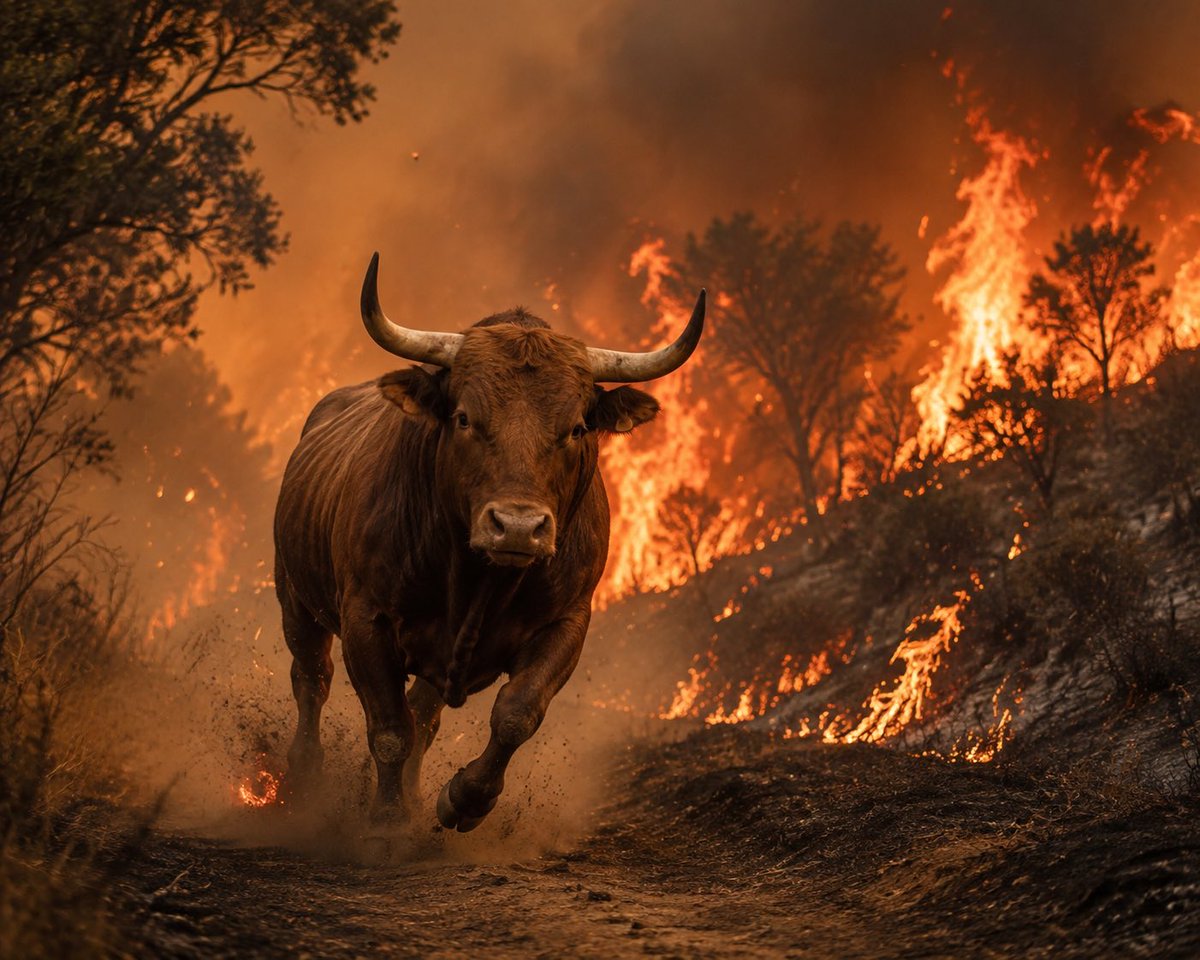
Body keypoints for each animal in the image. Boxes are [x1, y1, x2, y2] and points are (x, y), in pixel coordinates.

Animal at [273, 253, 704, 830]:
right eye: (463, 418)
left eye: (576, 428)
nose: (518, 527)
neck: (477, 581)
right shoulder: (366, 618)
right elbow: (388, 728)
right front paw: (388, 818)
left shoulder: (565, 623)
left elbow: (516, 714)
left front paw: (462, 799)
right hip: (296, 600)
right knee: (311, 679)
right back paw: (305, 775)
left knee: (423, 716)